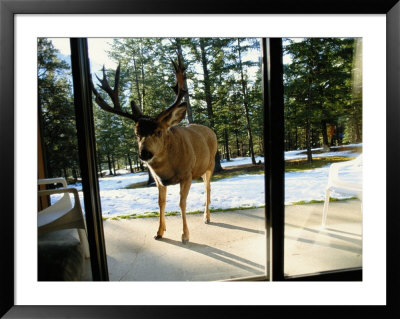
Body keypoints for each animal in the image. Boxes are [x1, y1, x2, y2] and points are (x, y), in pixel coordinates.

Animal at [89, 57, 217, 244]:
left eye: (158, 131)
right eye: (136, 133)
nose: (144, 153)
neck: (167, 168)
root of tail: (210, 130)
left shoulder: (186, 175)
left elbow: (181, 203)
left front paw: (185, 235)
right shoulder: (158, 180)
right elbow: (160, 203)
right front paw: (159, 232)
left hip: (210, 164)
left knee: (208, 188)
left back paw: (207, 217)